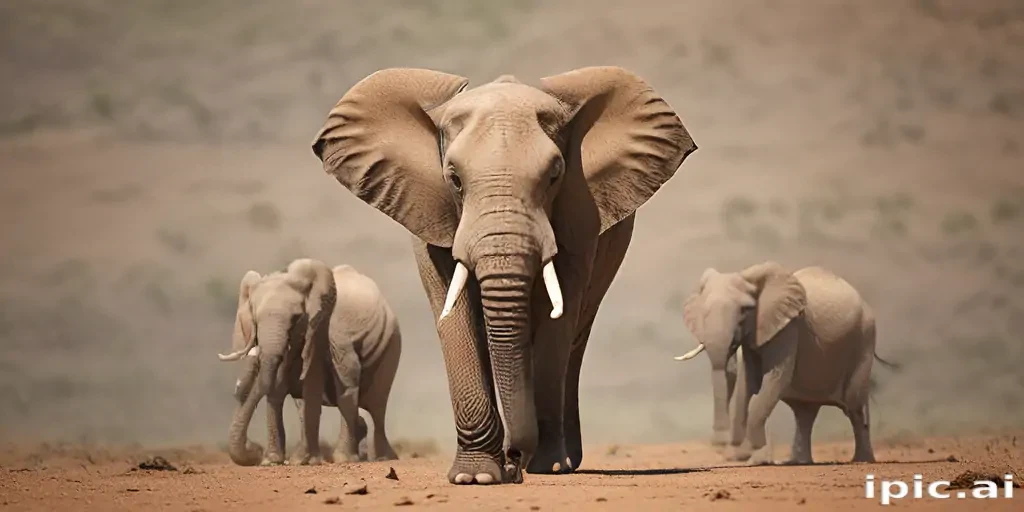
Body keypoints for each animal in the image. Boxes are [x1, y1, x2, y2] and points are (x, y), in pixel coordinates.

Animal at [217, 260, 401, 466]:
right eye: (255, 319)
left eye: (296, 318)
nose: (254, 447)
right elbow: (278, 388)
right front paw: (273, 461)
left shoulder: (322, 330)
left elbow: (317, 384)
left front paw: (313, 461)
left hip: (390, 346)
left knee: (376, 404)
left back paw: (379, 457)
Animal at [311, 67, 697, 484]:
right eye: (454, 179)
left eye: (554, 176)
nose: (514, 462)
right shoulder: (428, 212)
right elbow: (454, 312)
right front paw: (475, 477)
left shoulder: (579, 214)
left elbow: (557, 316)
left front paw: (547, 466)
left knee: (575, 337)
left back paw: (563, 459)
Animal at [674, 261, 899, 465]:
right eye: (702, 312)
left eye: (745, 310)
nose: (720, 445)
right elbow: (748, 384)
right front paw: (748, 457)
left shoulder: (787, 328)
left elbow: (773, 380)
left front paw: (755, 459)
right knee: (805, 412)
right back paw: (797, 462)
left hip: (865, 339)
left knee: (854, 406)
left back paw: (861, 461)